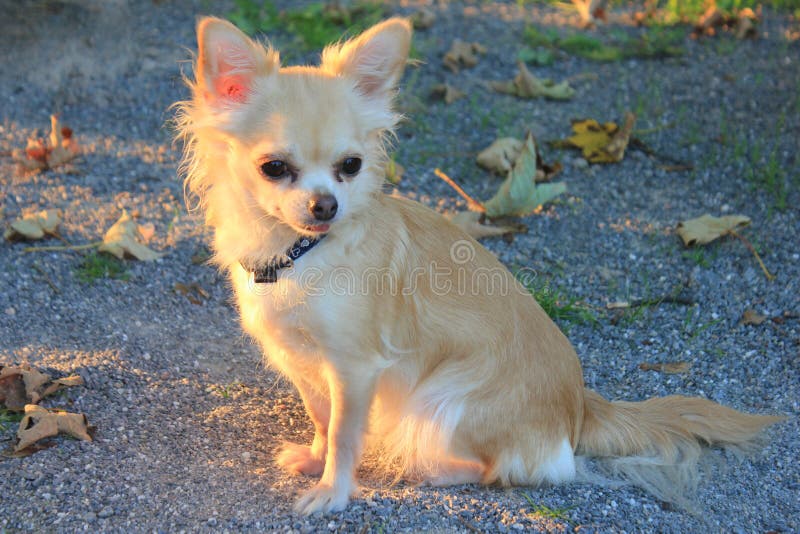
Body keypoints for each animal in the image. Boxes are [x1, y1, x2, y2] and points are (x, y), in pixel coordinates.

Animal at [177, 16, 780, 516]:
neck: (301, 253)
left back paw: (423, 469)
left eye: (351, 165)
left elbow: (346, 434)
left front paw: (333, 491)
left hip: (439, 401)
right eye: (274, 168)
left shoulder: (356, 367)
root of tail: (580, 410)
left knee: (497, 469)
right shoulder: (307, 364)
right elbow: (323, 420)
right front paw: (313, 458)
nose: (326, 206)